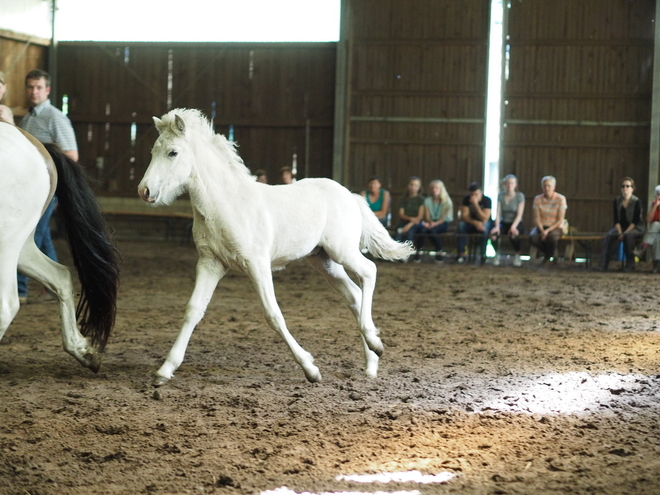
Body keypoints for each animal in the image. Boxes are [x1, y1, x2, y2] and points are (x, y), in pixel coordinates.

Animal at [0, 123, 120, 372]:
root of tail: (38, 146)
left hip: (6, 241)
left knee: (6, 305)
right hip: (22, 246)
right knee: (60, 276)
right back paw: (84, 351)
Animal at [138, 108, 412, 388]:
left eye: (173, 152)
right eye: (153, 151)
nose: (144, 190)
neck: (226, 205)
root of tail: (351, 195)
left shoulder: (256, 263)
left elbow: (273, 314)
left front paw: (311, 369)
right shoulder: (210, 263)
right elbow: (193, 310)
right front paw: (165, 370)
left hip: (342, 251)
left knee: (369, 271)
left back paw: (376, 344)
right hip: (323, 260)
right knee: (354, 295)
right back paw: (371, 363)